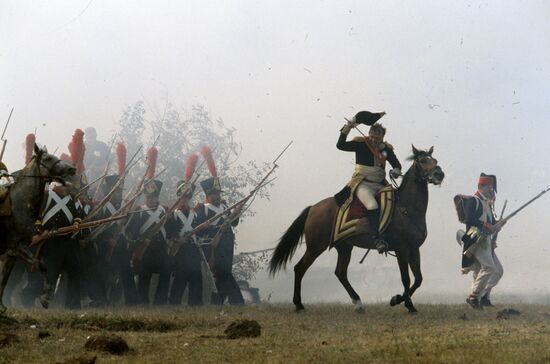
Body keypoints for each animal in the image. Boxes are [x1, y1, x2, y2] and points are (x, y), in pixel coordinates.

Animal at [270, 145, 446, 312]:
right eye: (422, 161)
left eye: (435, 160)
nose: (439, 174)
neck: (406, 208)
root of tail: (313, 208)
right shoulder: (401, 249)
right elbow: (406, 278)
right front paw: (407, 304)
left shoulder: (414, 249)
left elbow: (418, 279)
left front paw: (397, 299)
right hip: (316, 246)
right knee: (300, 268)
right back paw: (299, 304)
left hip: (344, 247)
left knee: (340, 273)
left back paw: (358, 302)